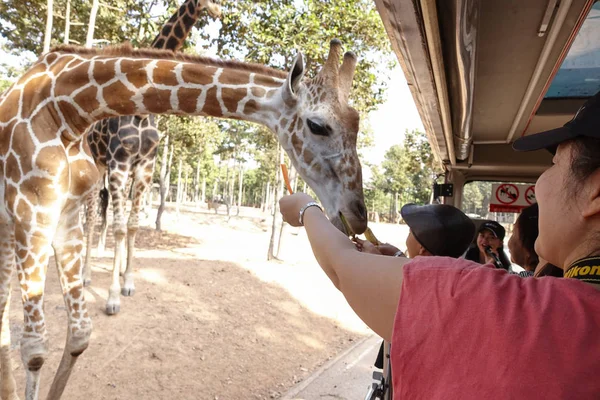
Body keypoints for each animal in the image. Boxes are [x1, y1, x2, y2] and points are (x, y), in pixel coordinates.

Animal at [0, 39, 366, 398]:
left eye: (356, 124)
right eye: (317, 125)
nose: (357, 216)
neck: (70, 109)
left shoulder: (66, 214)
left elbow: (79, 335)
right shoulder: (34, 210)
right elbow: (34, 350)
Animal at [83, 0, 224, 310]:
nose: (218, 11)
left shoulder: (145, 166)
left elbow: (133, 226)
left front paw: (128, 282)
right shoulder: (120, 163)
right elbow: (120, 228)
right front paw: (112, 297)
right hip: (96, 167)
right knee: (89, 217)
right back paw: (84, 277)